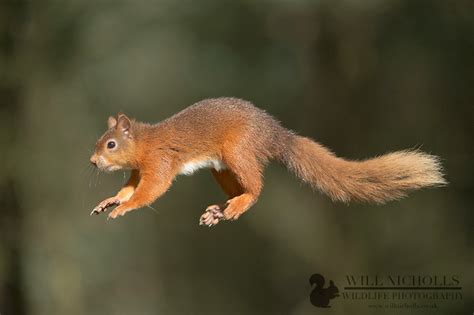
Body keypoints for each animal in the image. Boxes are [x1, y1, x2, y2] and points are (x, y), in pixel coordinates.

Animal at [88, 97, 444, 226]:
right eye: (99, 141)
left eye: (111, 144)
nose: (92, 162)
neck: (145, 141)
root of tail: (276, 134)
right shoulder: (139, 170)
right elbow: (129, 187)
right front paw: (109, 201)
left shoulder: (159, 162)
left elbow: (150, 190)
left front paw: (124, 207)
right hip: (222, 168)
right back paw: (220, 210)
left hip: (238, 151)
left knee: (257, 187)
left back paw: (236, 205)